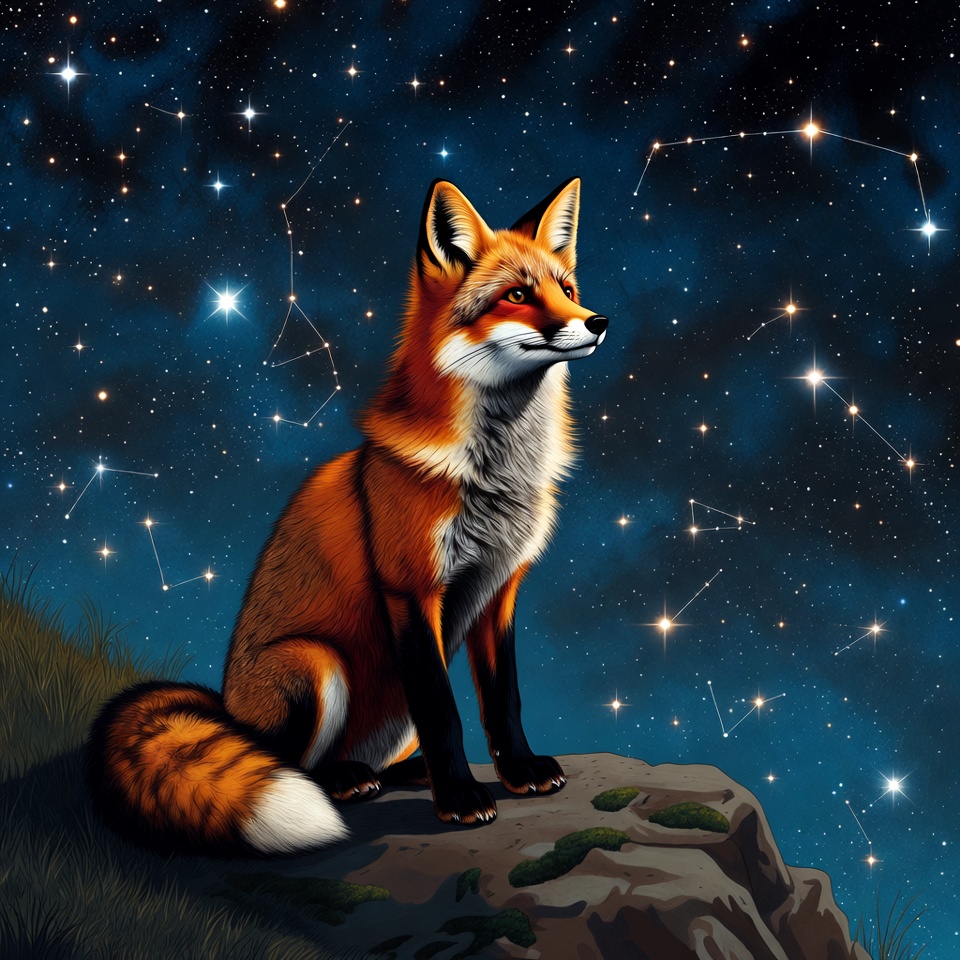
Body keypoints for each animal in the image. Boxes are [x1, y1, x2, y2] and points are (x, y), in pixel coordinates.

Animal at [86, 177, 608, 856]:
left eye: (567, 289)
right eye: (517, 295)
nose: (597, 321)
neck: (493, 476)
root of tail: (224, 708)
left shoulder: (499, 587)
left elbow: (502, 699)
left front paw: (518, 771)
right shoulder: (411, 590)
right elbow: (444, 710)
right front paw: (461, 798)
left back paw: (399, 772)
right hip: (316, 664)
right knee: (287, 761)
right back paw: (344, 781)